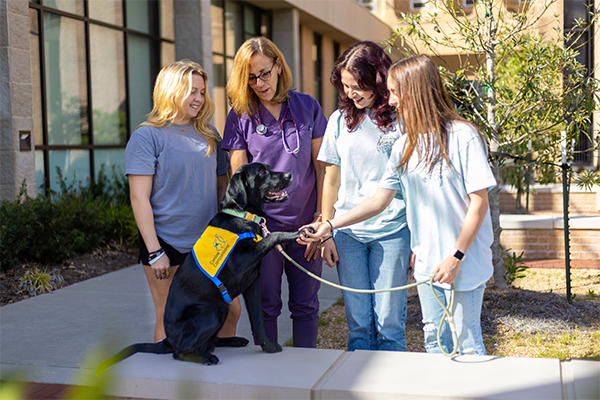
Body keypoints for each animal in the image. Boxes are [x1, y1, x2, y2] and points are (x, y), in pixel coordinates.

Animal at [98, 161, 310, 374]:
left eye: (268, 167)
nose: (289, 175)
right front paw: (294, 233)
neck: (242, 215)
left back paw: (232, 340)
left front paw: (267, 346)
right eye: (262, 172)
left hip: (222, 308)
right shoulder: (241, 263)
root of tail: (167, 341)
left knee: (210, 341)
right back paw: (205, 357)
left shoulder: (253, 282)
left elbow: (257, 319)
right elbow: (272, 236)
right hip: (210, 311)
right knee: (181, 352)